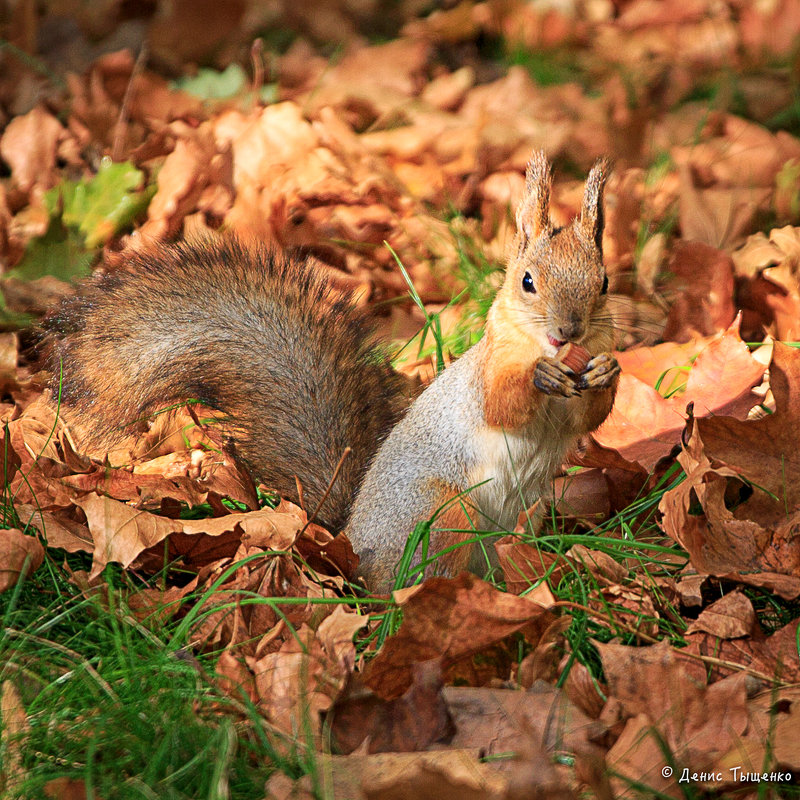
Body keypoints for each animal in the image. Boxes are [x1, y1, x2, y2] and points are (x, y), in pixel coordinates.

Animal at [42, 153, 620, 592]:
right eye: (527, 281)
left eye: (605, 281)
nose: (568, 331)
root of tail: (352, 547)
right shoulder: (486, 374)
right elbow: (503, 405)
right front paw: (541, 376)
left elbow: (587, 418)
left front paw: (607, 370)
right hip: (439, 513)